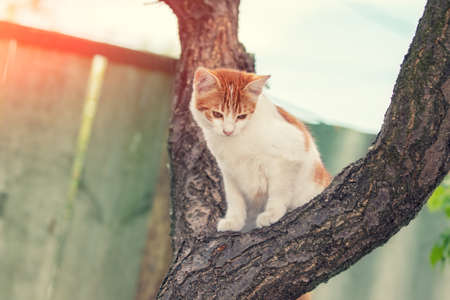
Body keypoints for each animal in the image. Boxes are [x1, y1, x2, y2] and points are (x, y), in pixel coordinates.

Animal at [190, 67, 330, 232]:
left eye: (241, 116)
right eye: (217, 114)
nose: (228, 131)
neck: (236, 139)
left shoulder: (291, 152)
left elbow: (279, 188)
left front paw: (272, 213)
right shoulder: (228, 170)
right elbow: (234, 197)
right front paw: (234, 220)